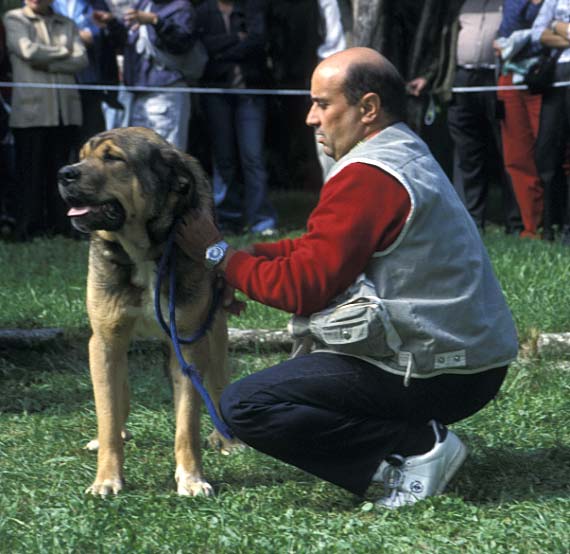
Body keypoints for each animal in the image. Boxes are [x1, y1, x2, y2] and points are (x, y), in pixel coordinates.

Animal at [56, 126, 236, 496]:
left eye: (113, 158)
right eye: (82, 156)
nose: (64, 173)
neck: (142, 249)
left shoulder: (189, 343)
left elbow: (187, 422)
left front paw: (192, 478)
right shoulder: (105, 340)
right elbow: (108, 413)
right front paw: (106, 479)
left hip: (215, 331)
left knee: (217, 383)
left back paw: (225, 438)